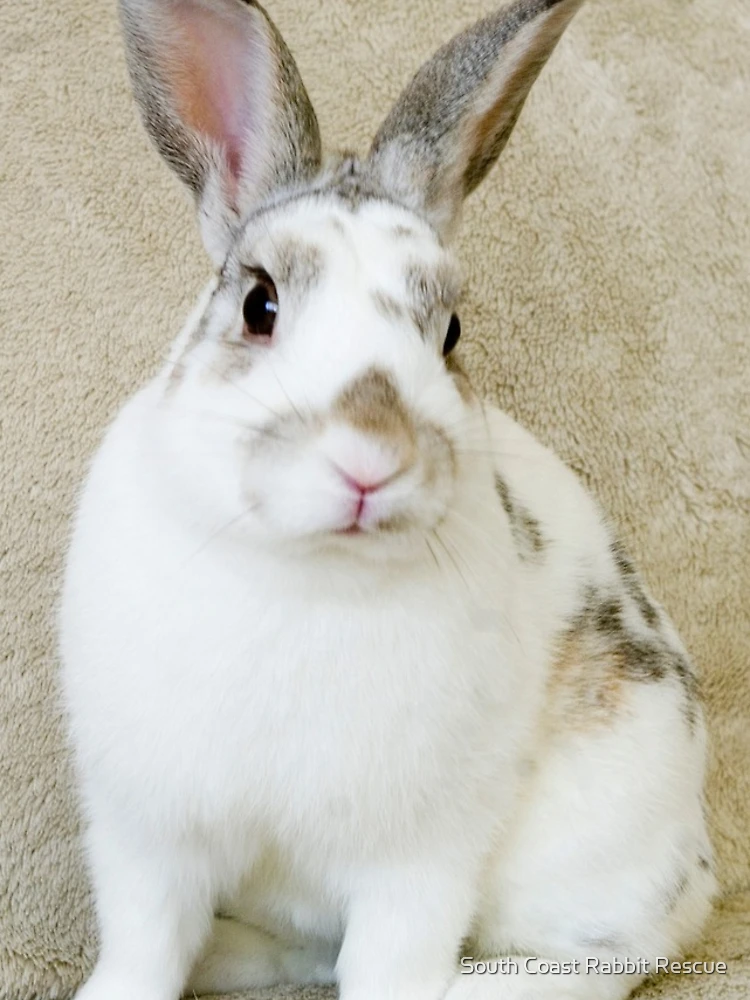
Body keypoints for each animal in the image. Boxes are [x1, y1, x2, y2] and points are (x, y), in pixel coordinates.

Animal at [59, 1, 716, 999]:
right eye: (258, 304)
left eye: (451, 331)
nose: (372, 458)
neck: (311, 573)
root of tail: (704, 874)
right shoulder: (149, 834)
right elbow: (143, 949)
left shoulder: (420, 862)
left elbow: (387, 963)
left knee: (586, 965)